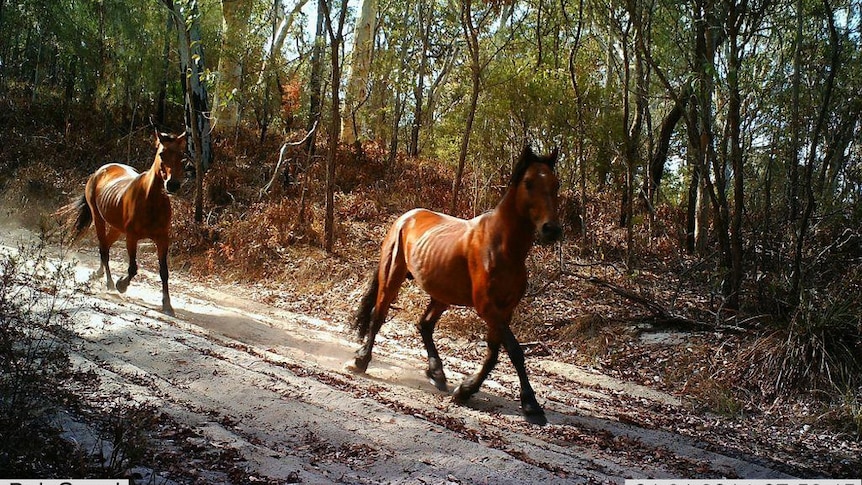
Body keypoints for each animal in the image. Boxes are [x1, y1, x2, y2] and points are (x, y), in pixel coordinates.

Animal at [61, 130, 189, 316]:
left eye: (182, 155)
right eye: (162, 154)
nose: (172, 185)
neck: (151, 201)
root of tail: (99, 171)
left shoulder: (162, 239)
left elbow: (164, 272)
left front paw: (167, 306)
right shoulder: (132, 237)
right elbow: (133, 268)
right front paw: (121, 284)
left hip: (117, 228)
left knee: (105, 245)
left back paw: (98, 274)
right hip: (99, 219)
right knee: (104, 249)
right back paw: (109, 283)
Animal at [348, 144, 564, 424]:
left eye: (556, 184)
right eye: (528, 183)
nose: (552, 229)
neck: (502, 247)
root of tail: (405, 217)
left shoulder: (505, 310)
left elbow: (494, 352)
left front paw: (465, 390)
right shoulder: (487, 307)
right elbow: (514, 350)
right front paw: (531, 405)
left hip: (442, 294)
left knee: (425, 325)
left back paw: (437, 373)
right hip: (392, 276)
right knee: (379, 315)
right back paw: (362, 361)